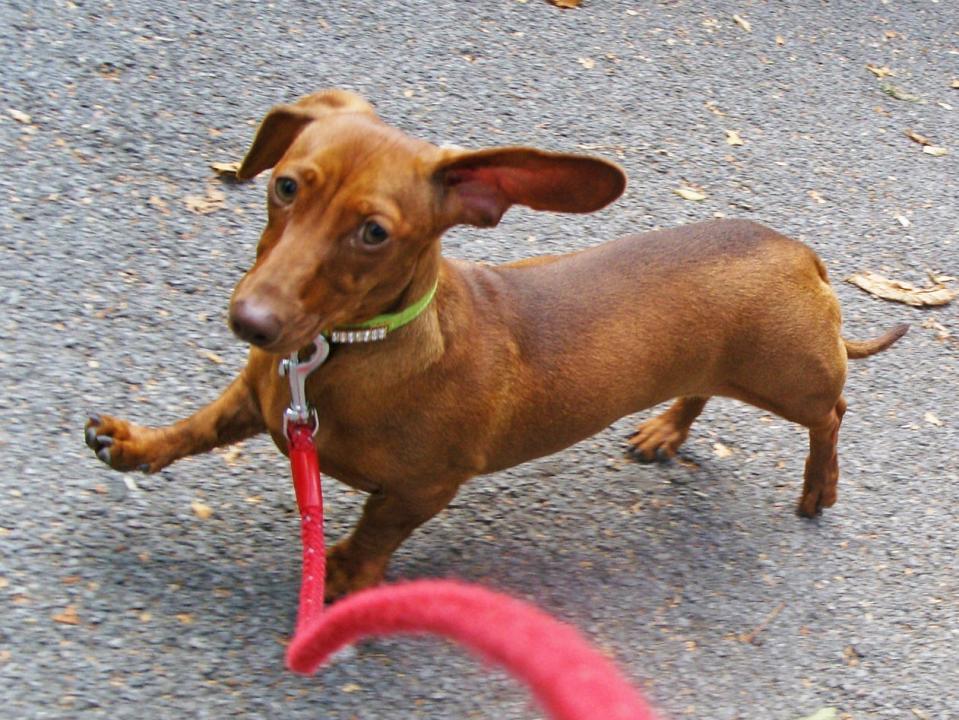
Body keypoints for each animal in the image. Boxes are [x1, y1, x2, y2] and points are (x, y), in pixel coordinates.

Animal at [84, 88, 908, 596]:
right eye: (285, 185)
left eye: (374, 232)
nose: (250, 322)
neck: (345, 353)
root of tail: (799, 251)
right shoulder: (255, 399)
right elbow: (192, 429)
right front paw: (134, 444)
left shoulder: (423, 489)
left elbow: (374, 532)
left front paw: (343, 575)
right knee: (702, 389)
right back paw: (666, 429)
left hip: (789, 380)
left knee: (832, 416)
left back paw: (818, 487)